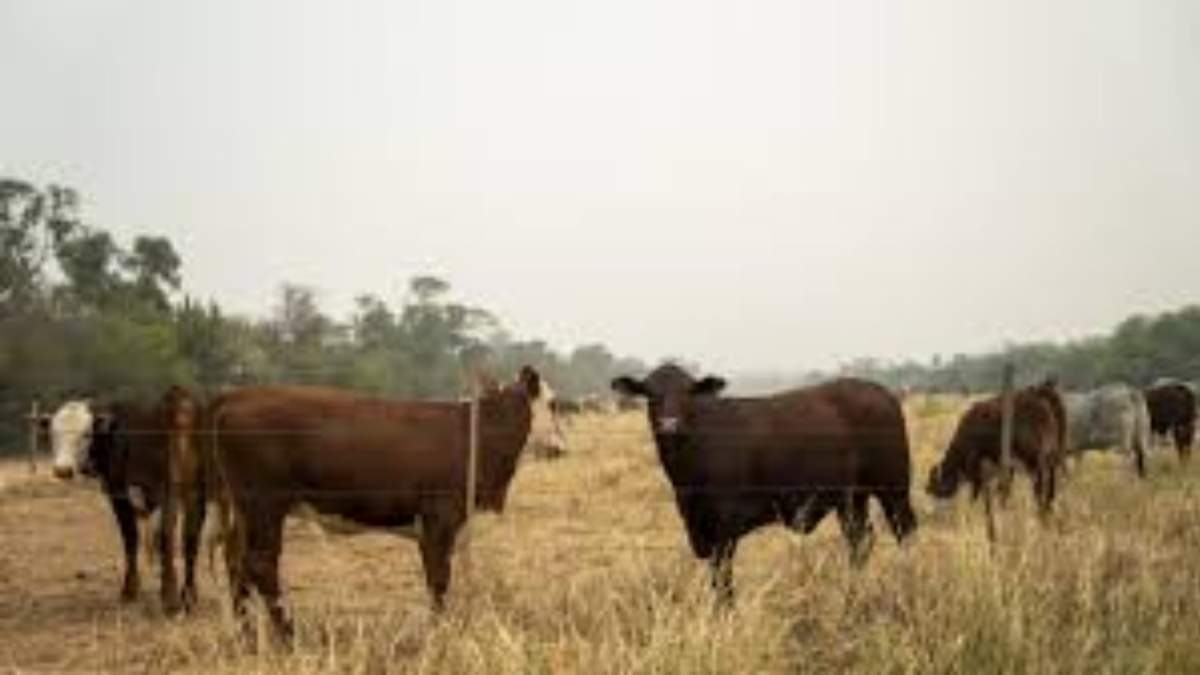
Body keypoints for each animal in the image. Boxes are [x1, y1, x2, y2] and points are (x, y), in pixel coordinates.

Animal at [45, 386, 207, 614]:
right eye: (53, 433)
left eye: (86, 434)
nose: (63, 470)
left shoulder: (121, 494)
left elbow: (139, 538)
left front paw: (134, 591)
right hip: (195, 493)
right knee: (190, 539)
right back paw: (189, 595)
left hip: (175, 492)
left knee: (174, 537)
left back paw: (173, 597)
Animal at [209, 366, 551, 641]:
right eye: (555, 404)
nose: (559, 447)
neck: (476, 433)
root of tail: (235, 396)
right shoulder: (439, 521)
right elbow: (438, 578)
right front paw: (439, 631)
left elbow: (436, 576)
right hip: (264, 505)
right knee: (260, 564)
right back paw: (289, 635)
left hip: (245, 511)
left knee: (236, 561)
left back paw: (246, 635)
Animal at [611, 364, 916, 604]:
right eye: (650, 393)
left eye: (689, 393)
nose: (669, 424)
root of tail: (882, 392)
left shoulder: (724, 529)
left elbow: (723, 582)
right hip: (852, 499)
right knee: (859, 541)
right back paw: (851, 595)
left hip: (894, 488)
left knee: (904, 532)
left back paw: (908, 583)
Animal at [925, 380, 1066, 539]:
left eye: (936, 488)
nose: (933, 515)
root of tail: (1039, 393)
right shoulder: (1005, 467)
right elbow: (1003, 490)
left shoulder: (977, 469)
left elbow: (977, 493)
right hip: (1052, 454)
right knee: (1051, 481)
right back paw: (1049, 507)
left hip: (1035, 460)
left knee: (1039, 484)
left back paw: (1041, 511)